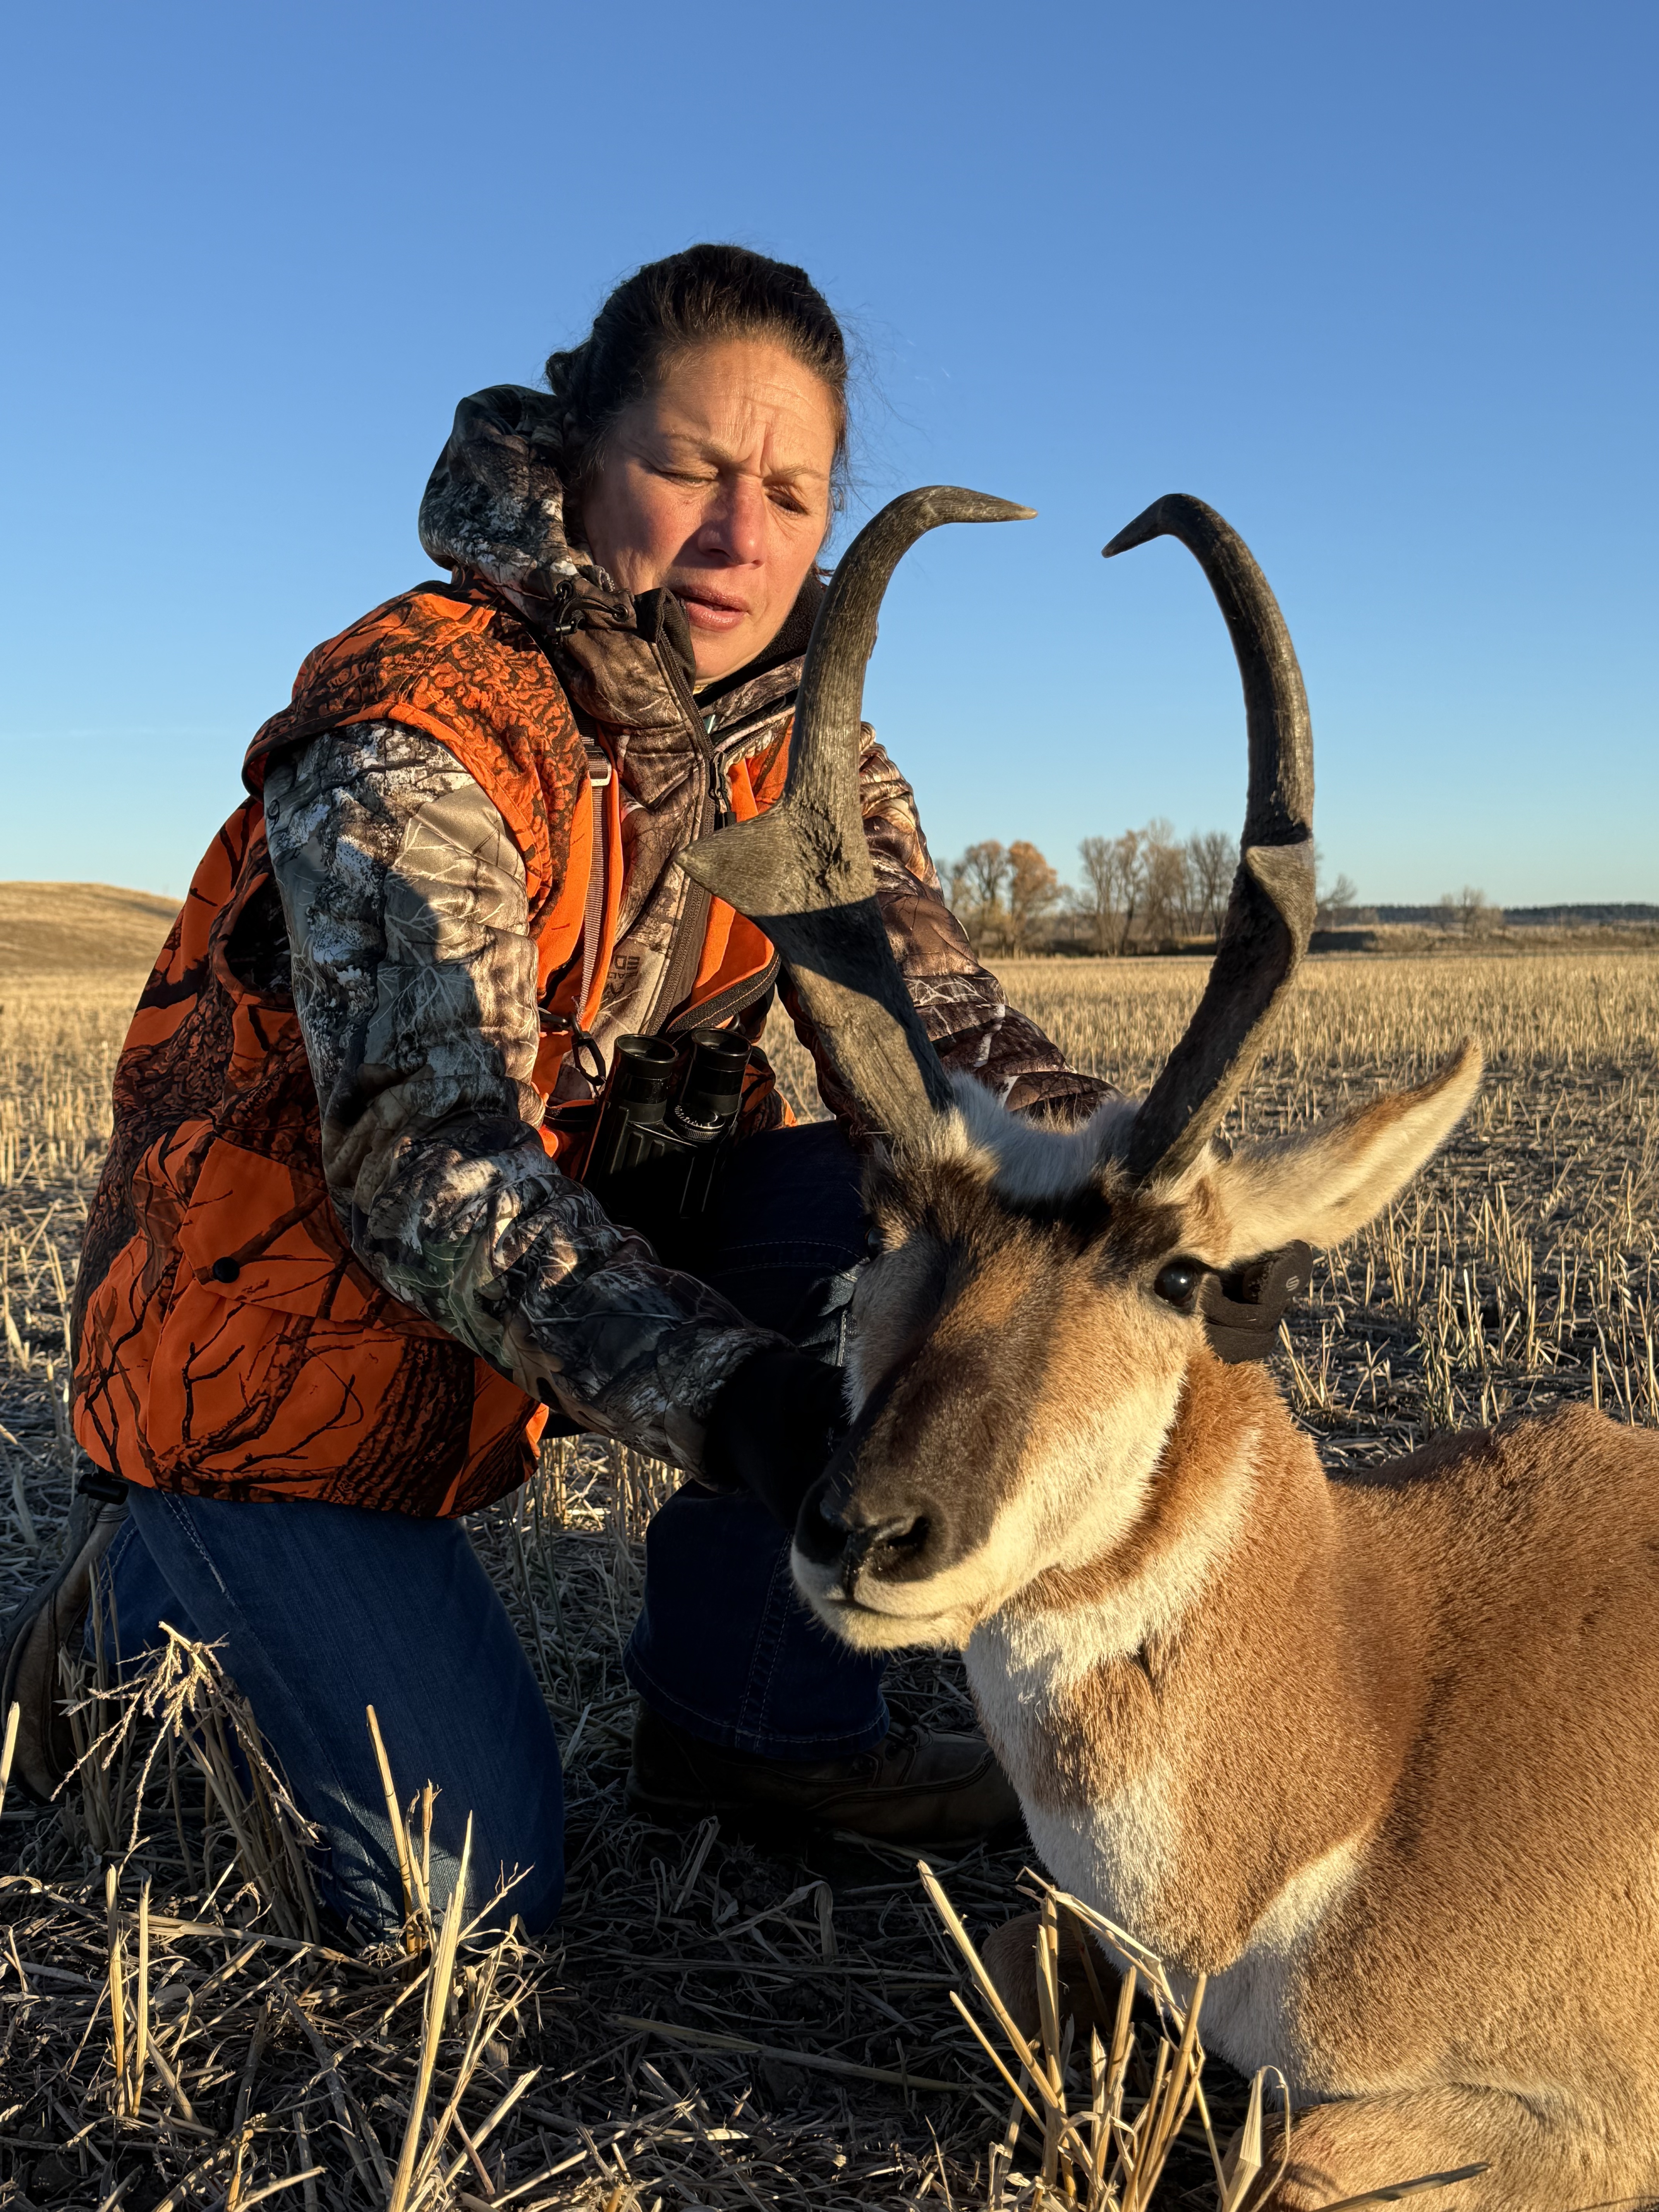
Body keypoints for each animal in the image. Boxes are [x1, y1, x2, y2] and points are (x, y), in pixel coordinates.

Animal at [681, 489, 1659, 2211]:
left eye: (1184, 1270)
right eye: (880, 1224)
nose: (865, 1533)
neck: (1376, 1725)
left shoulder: (1585, 2118)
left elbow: (1298, 2159)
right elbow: (1018, 1957)